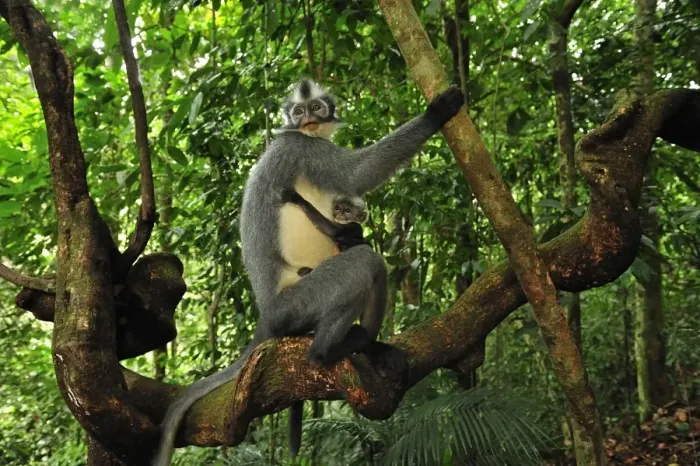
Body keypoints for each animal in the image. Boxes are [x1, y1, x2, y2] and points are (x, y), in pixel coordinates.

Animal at [152, 79, 464, 465]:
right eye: (298, 112)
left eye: (315, 108)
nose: (307, 120)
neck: (301, 134)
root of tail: (266, 315)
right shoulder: (301, 147)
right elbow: (355, 175)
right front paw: (436, 113)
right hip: (296, 303)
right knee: (367, 263)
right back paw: (329, 351)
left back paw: (371, 347)